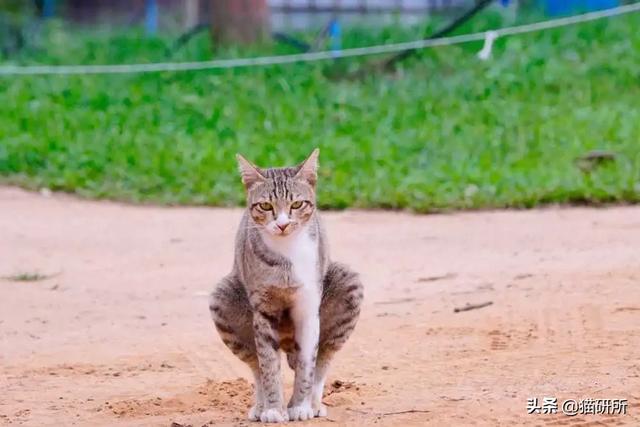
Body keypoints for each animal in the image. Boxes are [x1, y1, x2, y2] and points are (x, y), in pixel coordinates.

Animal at [209, 149, 362, 422]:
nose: (282, 224)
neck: (286, 256)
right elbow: (268, 365)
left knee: (323, 358)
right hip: (222, 298)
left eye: (297, 204)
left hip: (348, 283)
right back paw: (260, 406)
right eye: (265, 206)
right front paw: (272, 409)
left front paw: (300, 406)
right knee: (255, 363)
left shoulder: (309, 307)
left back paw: (314, 403)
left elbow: (307, 365)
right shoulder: (262, 308)